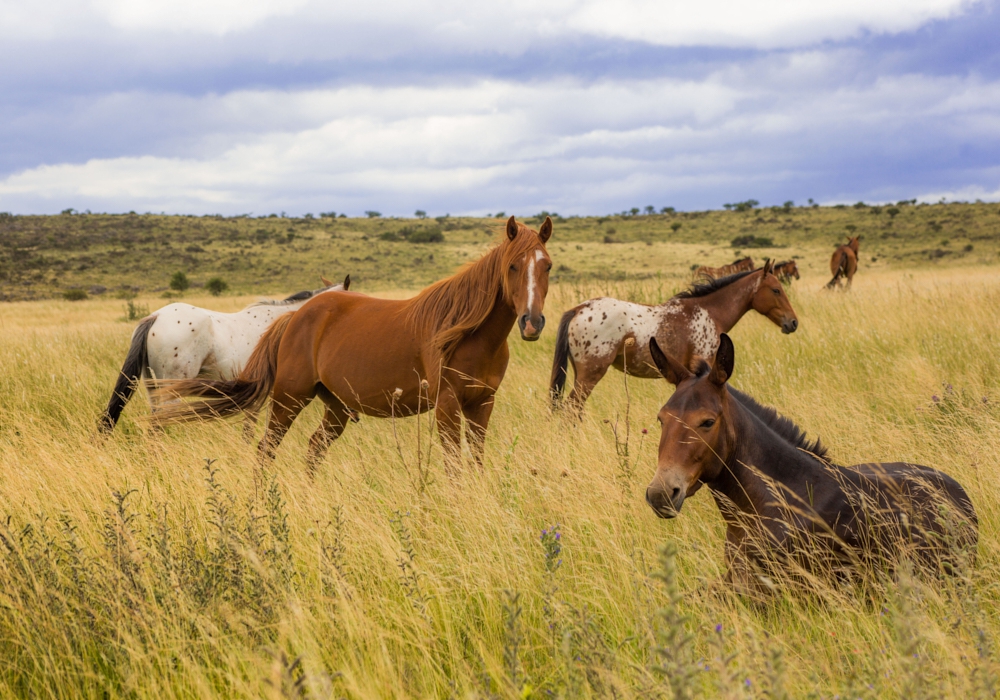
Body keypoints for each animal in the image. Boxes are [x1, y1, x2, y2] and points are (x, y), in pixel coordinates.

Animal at [149, 216, 556, 474]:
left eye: (547, 265)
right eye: (513, 266)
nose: (532, 322)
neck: (469, 336)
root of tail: (294, 317)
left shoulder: (482, 404)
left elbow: (475, 463)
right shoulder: (447, 405)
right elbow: (455, 467)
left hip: (336, 407)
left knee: (313, 449)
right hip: (289, 398)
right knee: (267, 449)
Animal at [548, 262, 796, 416]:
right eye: (776, 290)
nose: (793, 323)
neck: (709, 312)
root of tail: (579, 309)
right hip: (590, 376)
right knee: (571, 409)